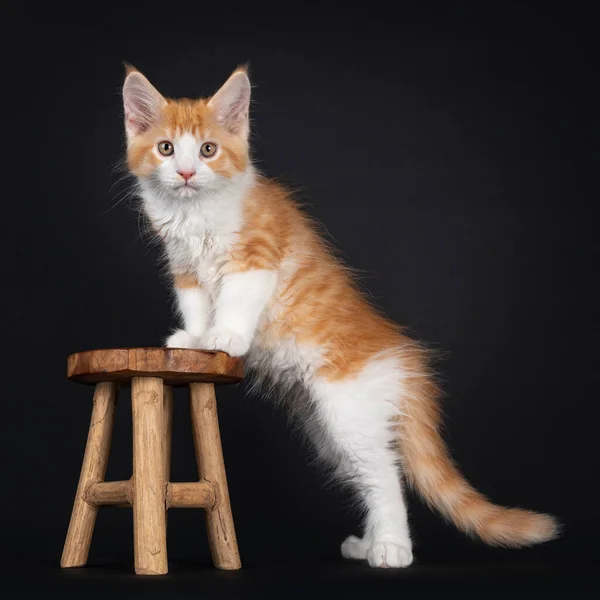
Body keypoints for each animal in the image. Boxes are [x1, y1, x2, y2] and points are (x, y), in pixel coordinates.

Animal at [122, 65, 556, 568]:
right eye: (166, 148)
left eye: (208, 149)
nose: (187, 172)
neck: (196, 212)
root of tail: (405, 361)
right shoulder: (185, 267)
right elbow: (194, 303)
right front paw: (194, 338)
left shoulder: (257, 257)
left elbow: (237, 300)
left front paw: (226, 336)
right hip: (327, 428)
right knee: (369, 474)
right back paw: (369, 543)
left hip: (348, 409)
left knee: (385, 475)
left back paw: (392, 549)